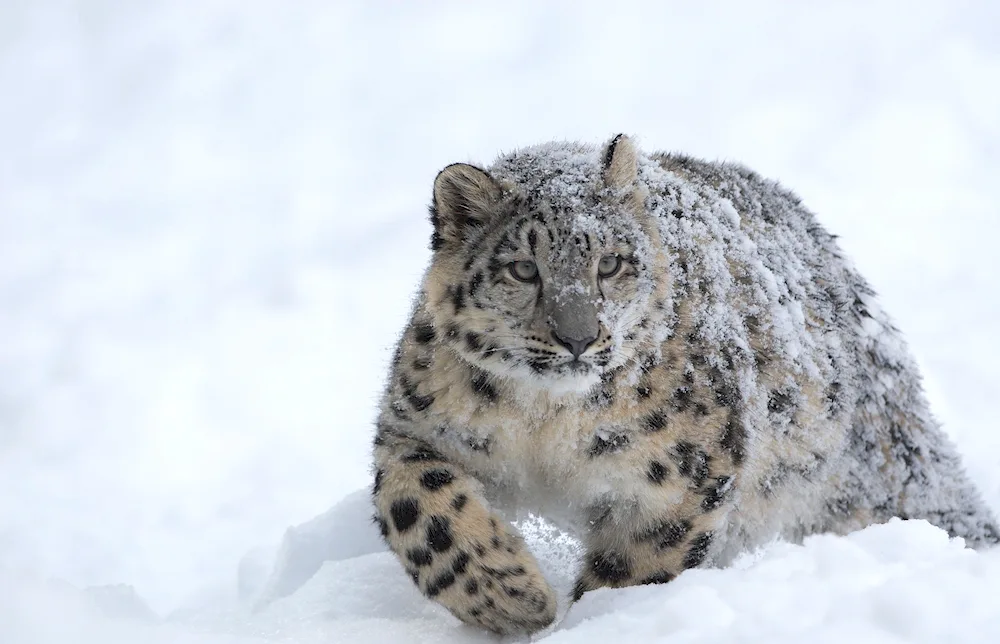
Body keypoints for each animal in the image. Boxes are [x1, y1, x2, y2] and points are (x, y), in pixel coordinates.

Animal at [370, 133, 1000, 636]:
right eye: (523, 269)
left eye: (611, 263)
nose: (578, 338)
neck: (545, 427)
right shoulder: (415, 425)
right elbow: (420, 510)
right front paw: (513, 599)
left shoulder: (681, 472)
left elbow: (637, 564)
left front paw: (598, 621)